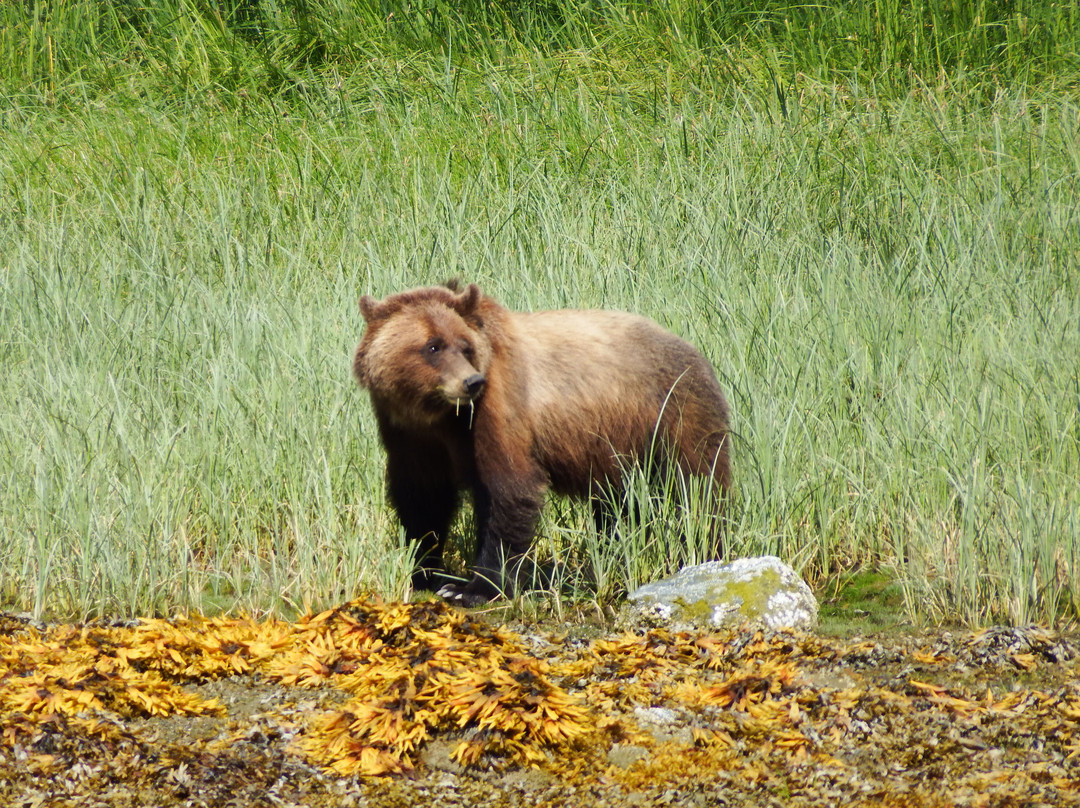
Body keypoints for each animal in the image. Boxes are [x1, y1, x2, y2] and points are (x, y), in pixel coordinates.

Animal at [354, 280, 734, 604]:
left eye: (465, 346)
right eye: (433, 346)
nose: (471, 382)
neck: (440, 415)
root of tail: (695, 352)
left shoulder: (499, 409)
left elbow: (508, 489)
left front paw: (474, 588)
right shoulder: (409, 436)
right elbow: (422, 499)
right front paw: (424, 571)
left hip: (674, 416)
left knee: (697, 490)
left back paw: (707, 552)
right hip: (617, 448)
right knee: (618, 507)